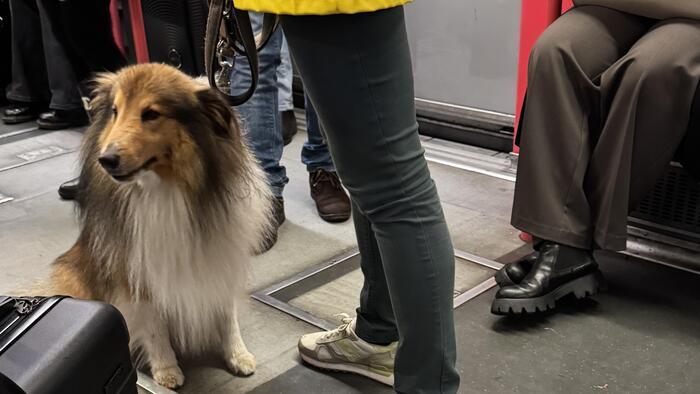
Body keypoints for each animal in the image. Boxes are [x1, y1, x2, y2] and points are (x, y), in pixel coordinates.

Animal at [47, 63, 274, 390]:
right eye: (114, 111)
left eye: (151, 113)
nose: (106, 160)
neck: (165, 188)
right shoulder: (138, 273)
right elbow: (154, 326)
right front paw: (167, 371)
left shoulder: (219, 257)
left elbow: (226, 315)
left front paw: (238, 356)